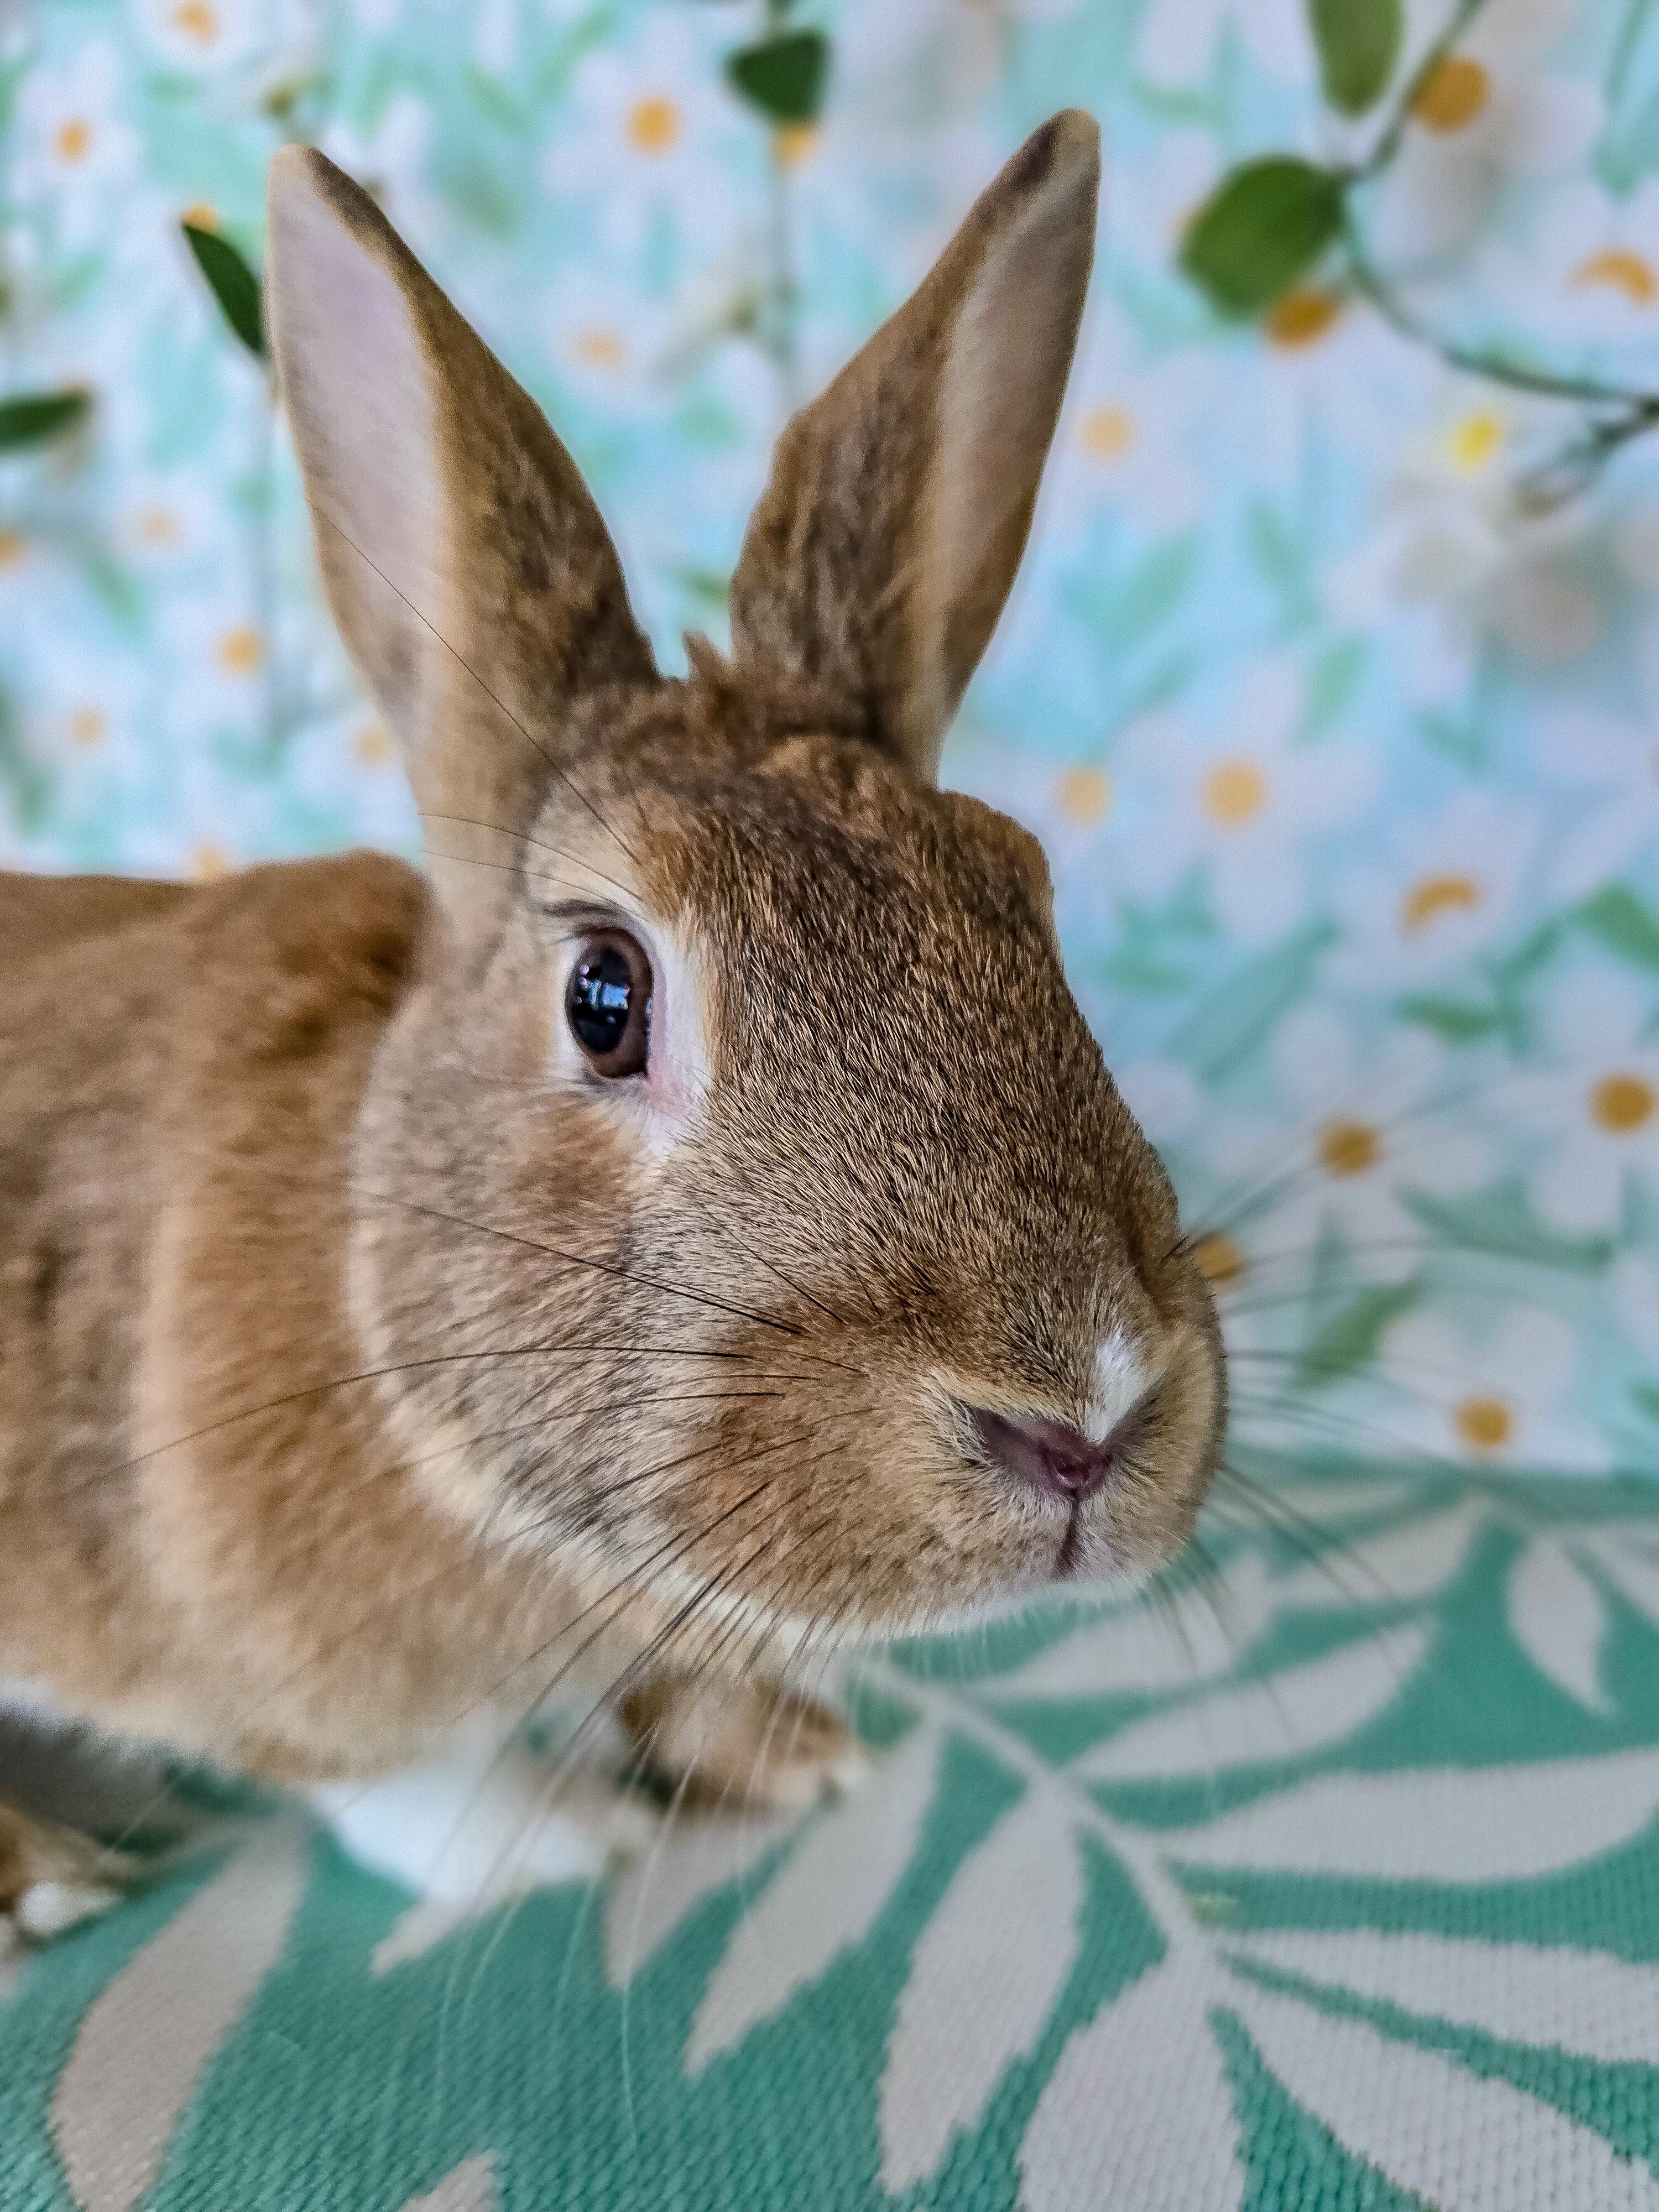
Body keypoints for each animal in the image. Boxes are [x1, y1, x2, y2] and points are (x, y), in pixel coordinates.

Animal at [0, 111, 1225, 1939]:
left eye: (1022, 888)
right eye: (605, 995)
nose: (1082, 1422)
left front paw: (782, 1750)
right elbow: (394, 1780)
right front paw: (565, 1837)